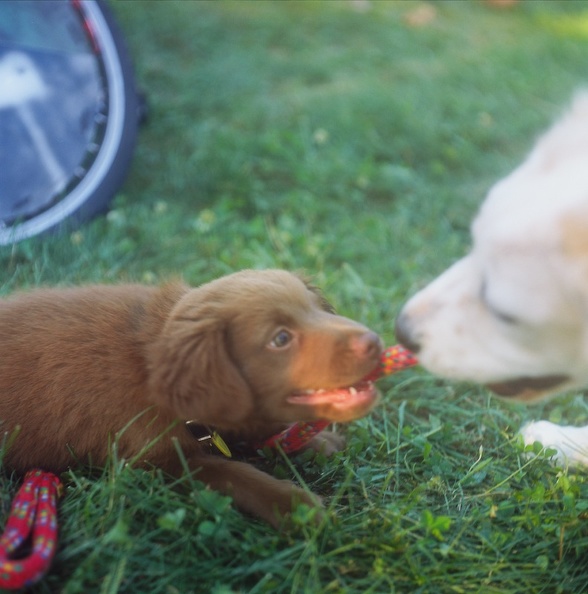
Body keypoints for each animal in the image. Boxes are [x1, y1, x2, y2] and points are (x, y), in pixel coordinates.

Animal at [0, 268, 382, 524]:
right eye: (281, 339)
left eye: (317, 309)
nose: (375, 341)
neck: (148, 362)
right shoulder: (158, 462)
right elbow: (234, 473)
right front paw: (294, 505)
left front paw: (319, 442)